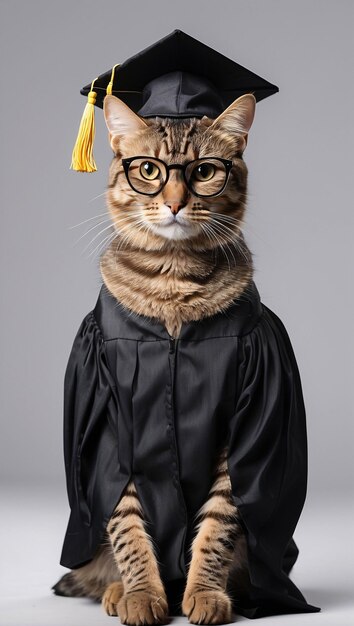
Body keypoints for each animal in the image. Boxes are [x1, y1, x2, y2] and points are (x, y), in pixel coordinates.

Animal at [54, 90, 256, 620]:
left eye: (204, 171)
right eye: (149, 170)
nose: (175, 203)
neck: (173, 282)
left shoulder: (240, 421)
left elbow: (217, 527)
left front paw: (204, 593)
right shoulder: (108, 424)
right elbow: (126, 529)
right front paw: (143, 593)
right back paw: (116, 589)